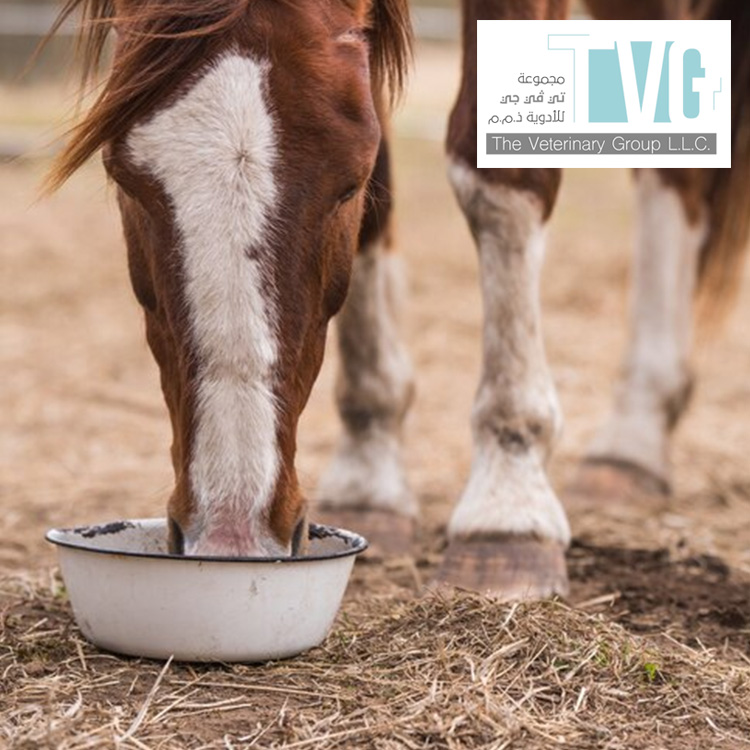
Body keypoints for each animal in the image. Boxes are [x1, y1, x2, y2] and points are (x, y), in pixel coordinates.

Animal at [45, 0, 750, 600]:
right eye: (124, 179)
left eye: (345, 182)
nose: (231, 534)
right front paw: (371, 471)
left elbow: (500, 176)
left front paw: (509, 504)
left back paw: (632, 438)